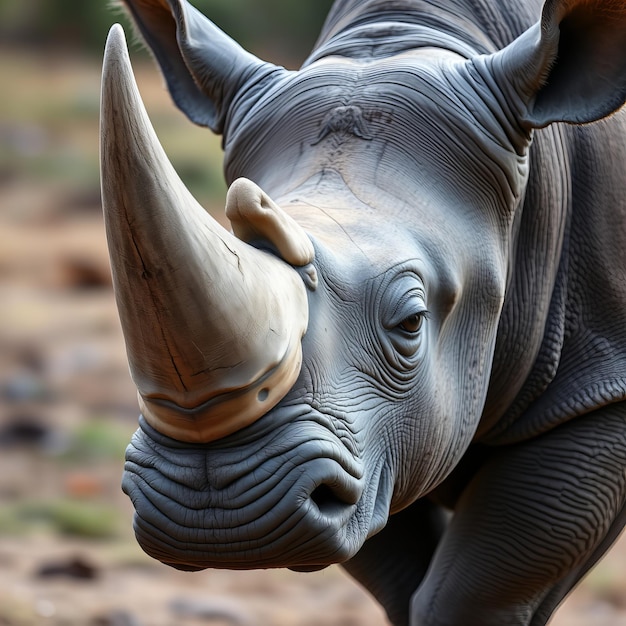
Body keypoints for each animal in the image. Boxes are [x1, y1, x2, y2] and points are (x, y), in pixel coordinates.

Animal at [100, 0, 624, 620]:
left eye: (412, 322)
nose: (217, 509)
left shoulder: (602, 387)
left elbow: (472, 593)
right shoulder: (375, 442)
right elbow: (401, 578)